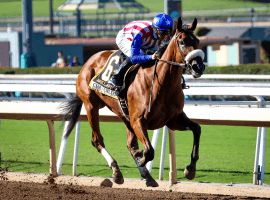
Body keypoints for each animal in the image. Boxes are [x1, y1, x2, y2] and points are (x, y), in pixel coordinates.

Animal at [60, 16, 205, 187]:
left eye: (197, 41)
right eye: (182, 42)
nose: (198, 67)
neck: (161, 84)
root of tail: (89, 61)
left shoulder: (172, 120)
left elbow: (197, 129)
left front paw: (190, 169)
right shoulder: (138, 121)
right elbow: (149, 151)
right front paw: (142, 163)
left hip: (124, 114)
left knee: (130, 145)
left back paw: (146, 176)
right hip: (91, 106)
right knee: (97, 140)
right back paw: (117, 171)